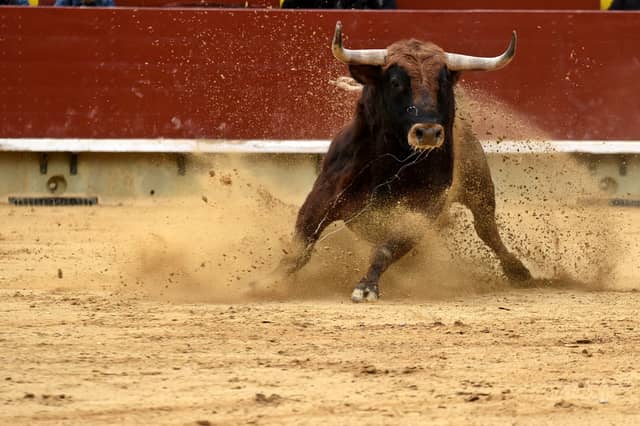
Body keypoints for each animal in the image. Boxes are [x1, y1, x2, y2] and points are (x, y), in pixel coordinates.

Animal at [275, 22, 532, 302]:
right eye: (396, 82)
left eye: (442, 83)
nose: (428, 132)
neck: (391, 161)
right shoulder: (324, 193)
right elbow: (302, 243)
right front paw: (270, 279)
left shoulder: (422, 209)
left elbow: (387, 248)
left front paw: (366, 286)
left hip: (479, 187)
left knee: (487, 229)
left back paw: (518, 271)